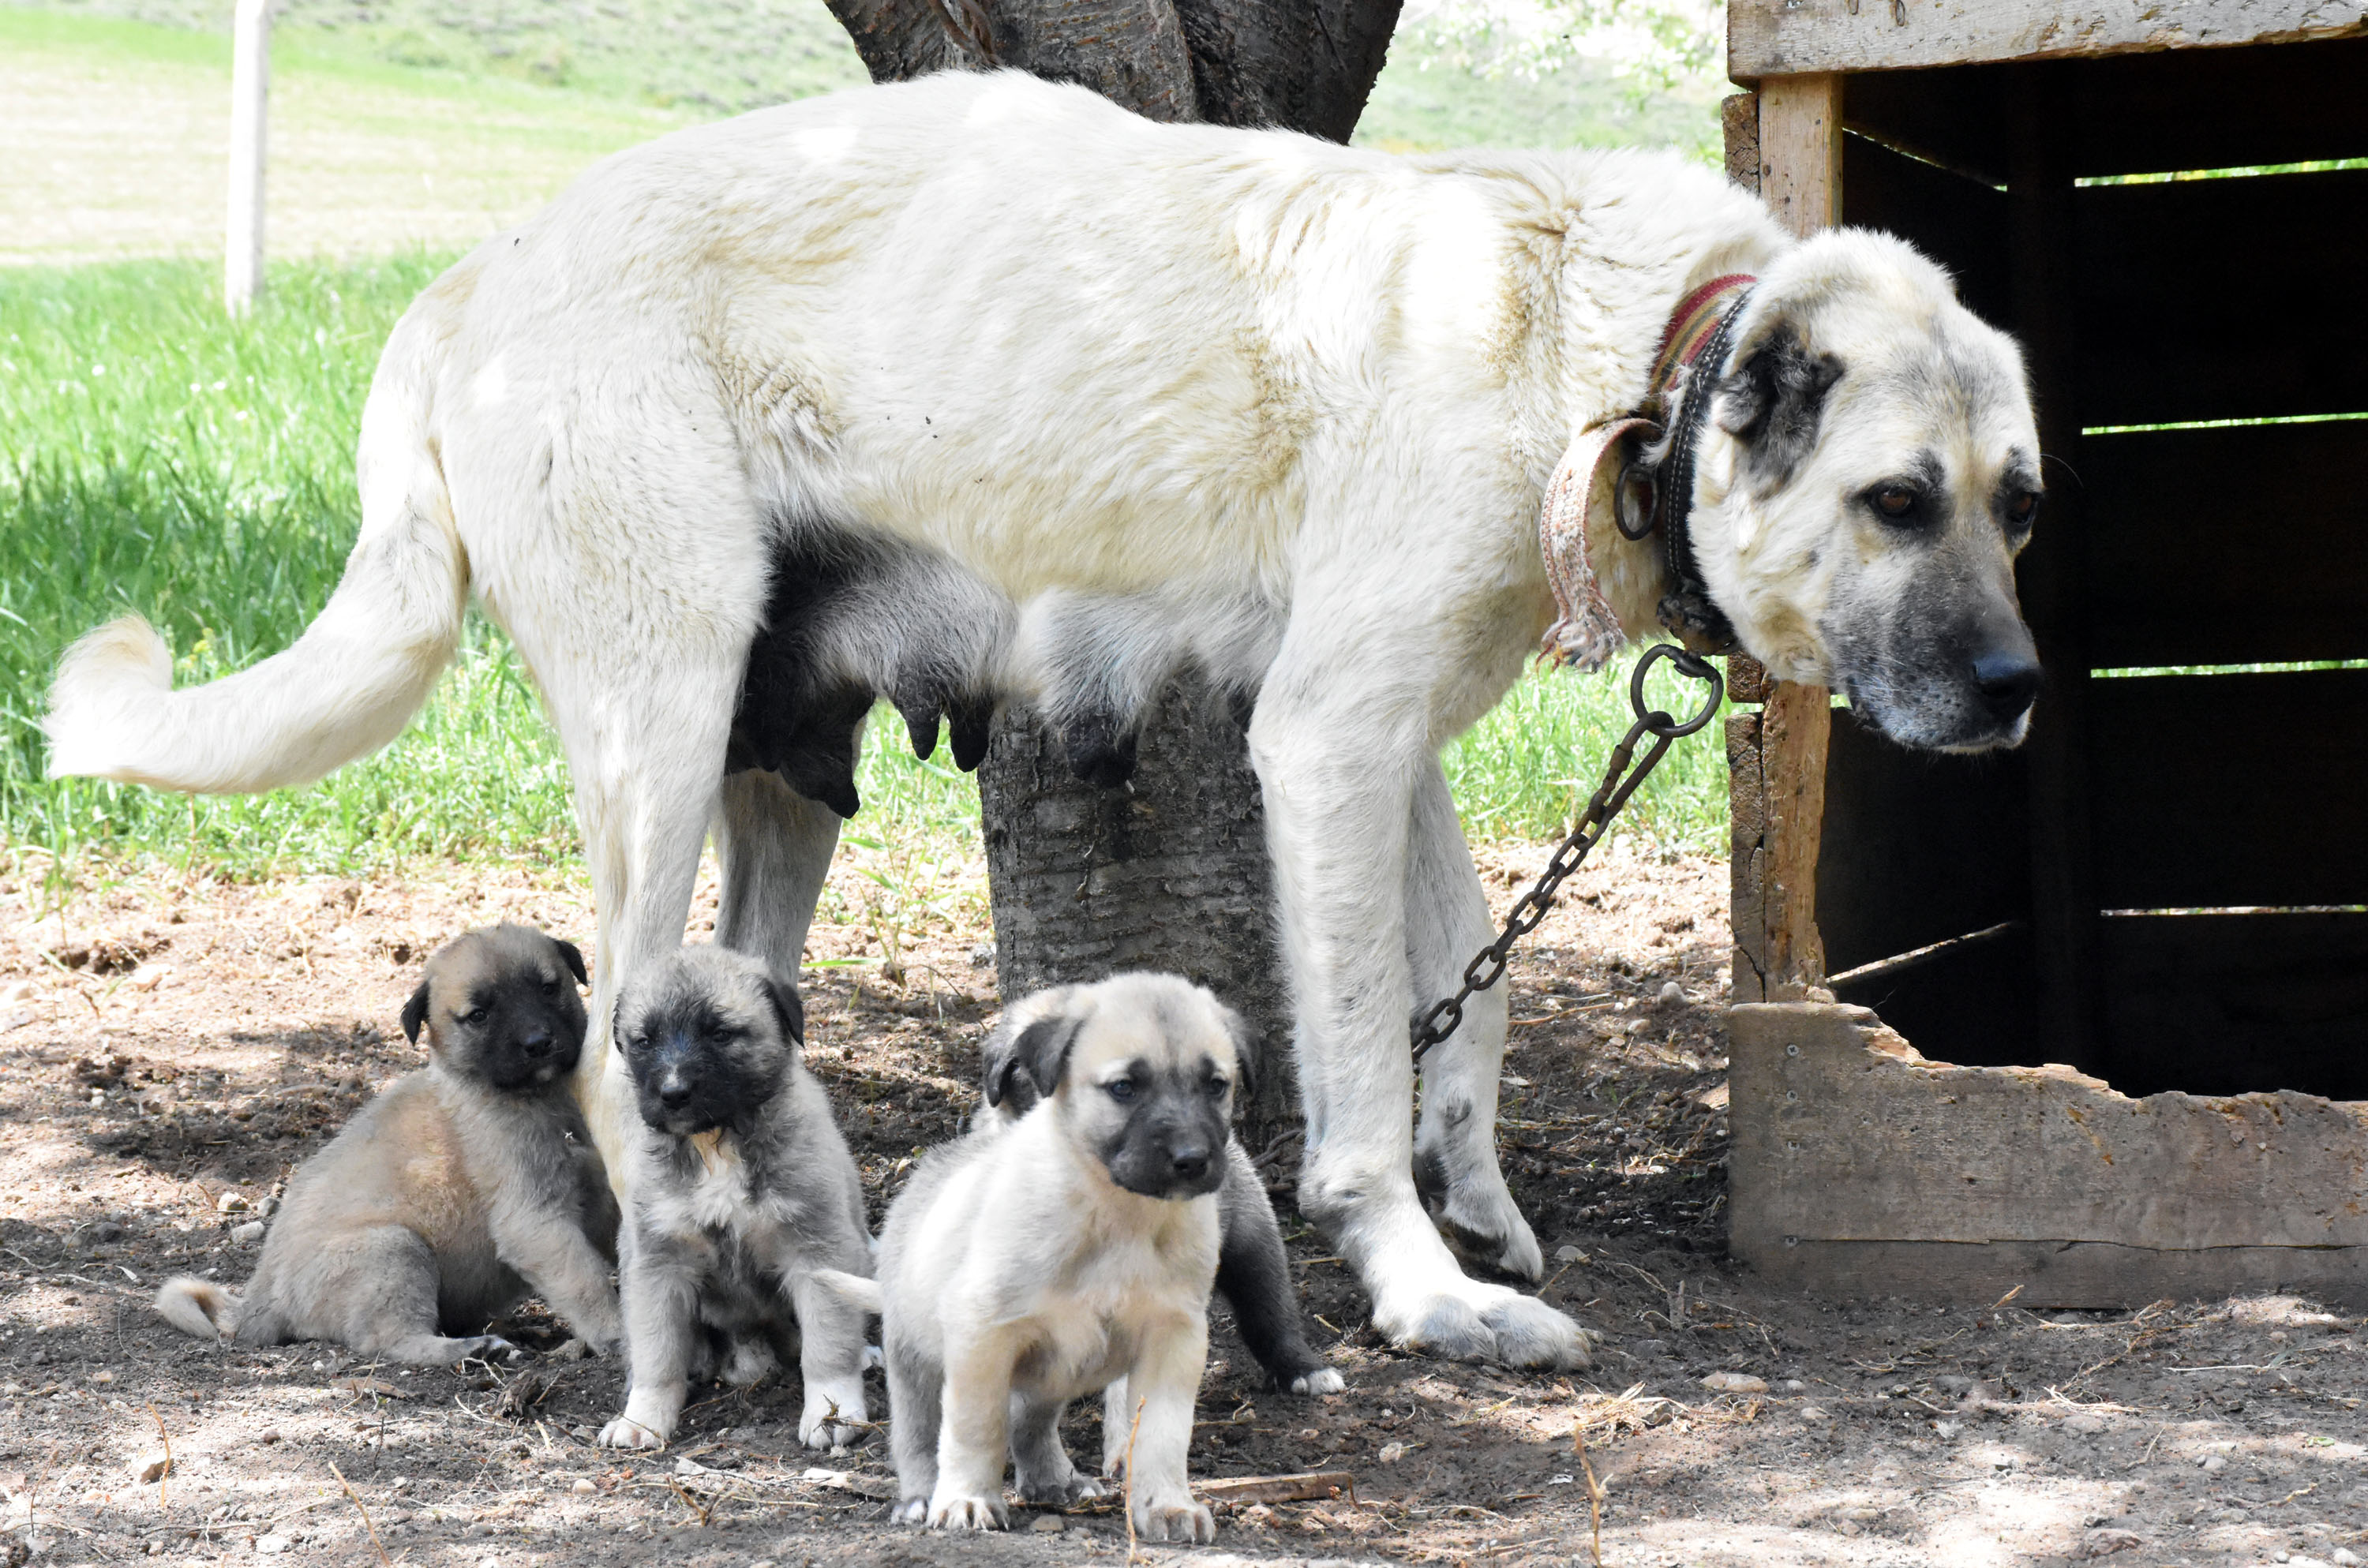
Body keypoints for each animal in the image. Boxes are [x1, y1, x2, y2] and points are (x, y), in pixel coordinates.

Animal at [152, 928, 625, 1373]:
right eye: (479, 1015)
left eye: (548, 988)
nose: (538, 1043)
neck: (539, 1097)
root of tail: (260, 1302)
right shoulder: (535, 1220)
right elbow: (586, 1281)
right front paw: (617, 1333)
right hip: (394, 1251)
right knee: (393, 1340)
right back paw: (476, 1349)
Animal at [597, 937, 876, 1458]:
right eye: (644, 1041)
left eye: (721, 1033)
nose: (673, 1093)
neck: (716, 1142)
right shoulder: (658, 1262)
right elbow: (657, 1352)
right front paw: (642, 1418)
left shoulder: (818, 1251)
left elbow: (828, 1345)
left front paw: (832, 1412)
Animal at [824, 975, 1241, 1544]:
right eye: (1125, 1087)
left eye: (1216, 1085)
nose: (1192, 1160)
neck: (1117, 1217)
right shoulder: (982, 1335)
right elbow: (975, 1428)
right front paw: (968, 1500)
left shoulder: (1173, 1338)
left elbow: (1162, 1433)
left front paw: (1168, 1505)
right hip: (917, 1356)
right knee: (919, 1433)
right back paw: (920, 1497)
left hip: (1051, 1368)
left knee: (1030, 1422)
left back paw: (1054, 1480)